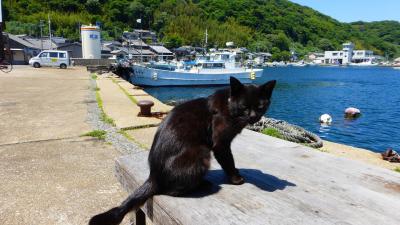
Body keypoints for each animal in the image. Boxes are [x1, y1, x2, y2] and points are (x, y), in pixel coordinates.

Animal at [88, 76, 276, 224]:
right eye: (244, 106)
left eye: (260, 107)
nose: (253, 117)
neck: (230, 108)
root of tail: (153, 176)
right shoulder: (220, 144)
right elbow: (229, 161)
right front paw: (236, 178)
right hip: (201, 153)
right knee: (170, 191)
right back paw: (203, 184)